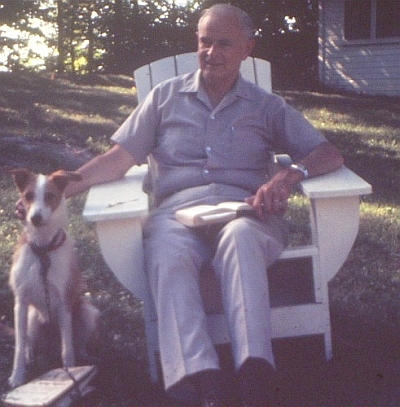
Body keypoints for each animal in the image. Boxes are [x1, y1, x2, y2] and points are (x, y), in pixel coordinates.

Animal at [6, 168, 99, 388]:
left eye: (49, 196)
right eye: (28, 196)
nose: (35, 218)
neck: (42, 250)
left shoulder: (64, 304)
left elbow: (68, 350)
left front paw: (73, 374)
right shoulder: (21, 303)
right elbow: (19, 347)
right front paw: (17, 376)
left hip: (87, 312)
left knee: (77, 345)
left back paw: (86, 357)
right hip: (32, 317)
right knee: (29, 342)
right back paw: (31, 354)